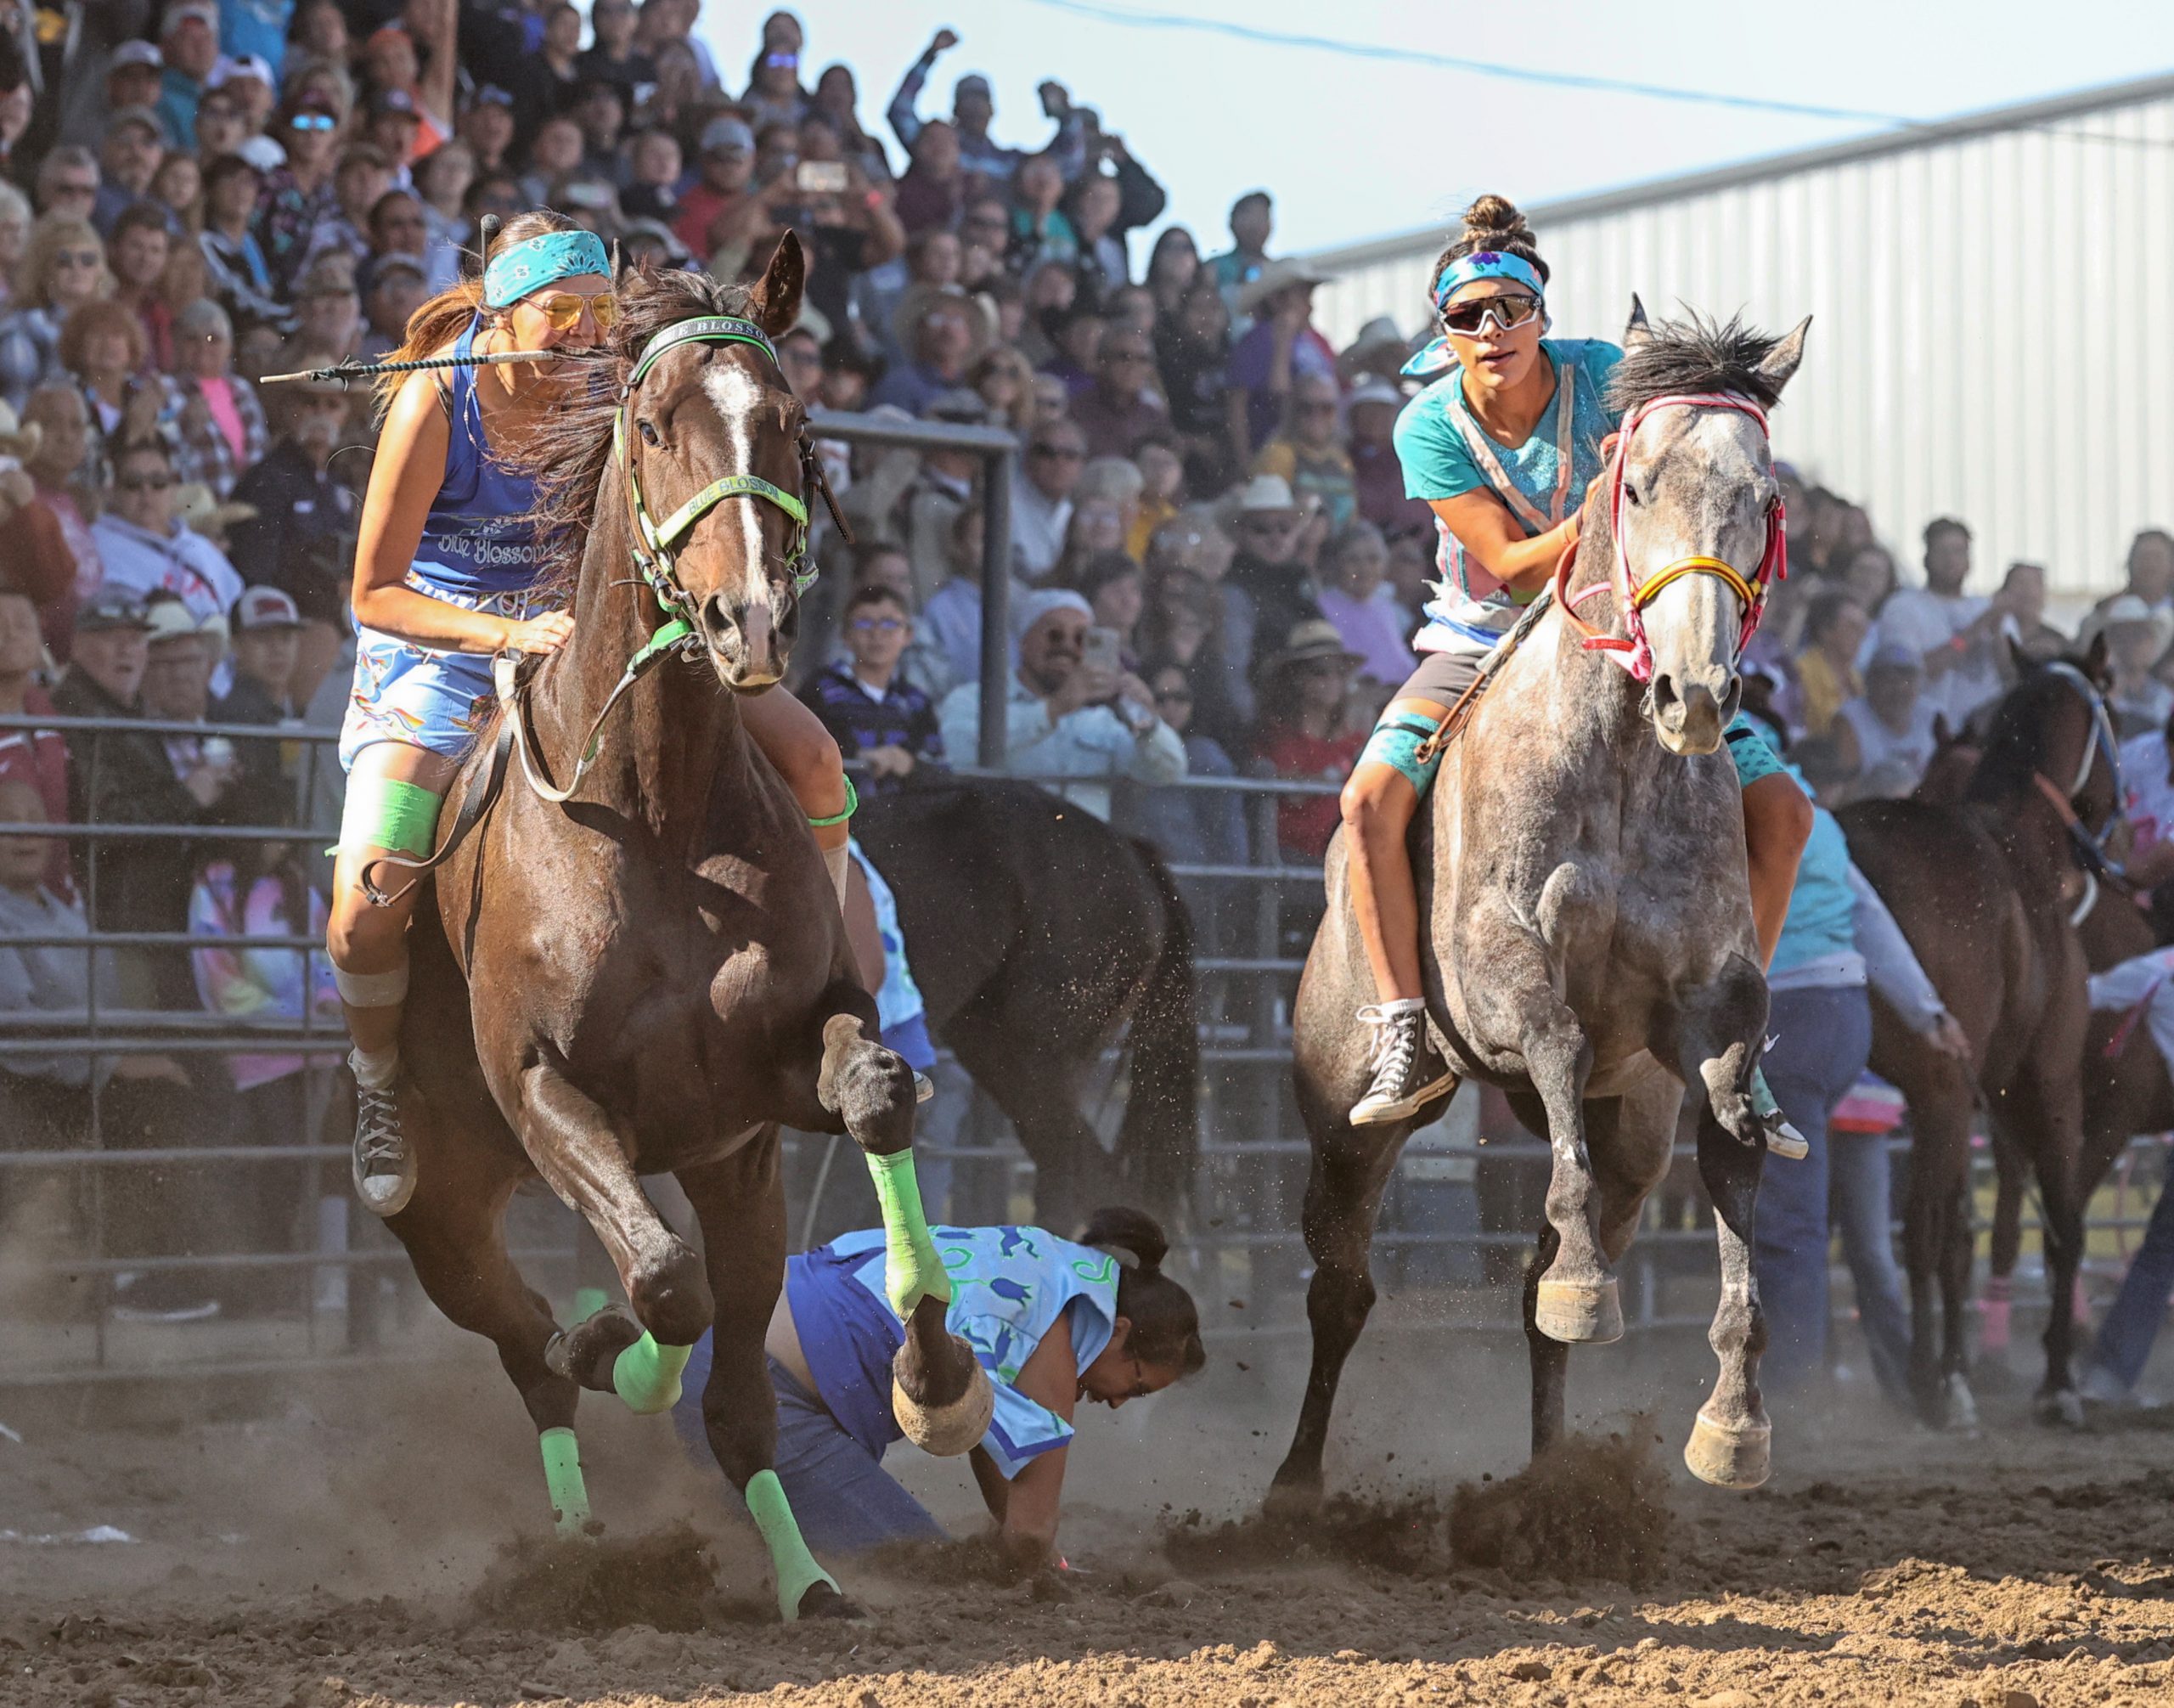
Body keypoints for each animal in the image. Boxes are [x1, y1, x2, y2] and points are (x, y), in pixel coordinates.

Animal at [386, 239, 983, 1608]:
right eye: (655, 426)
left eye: (792, 422)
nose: (746, 619)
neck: (651, 815)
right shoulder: (546, 1091)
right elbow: (663, 1283)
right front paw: (618, 1345)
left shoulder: (765, 1097)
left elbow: (875, 1103)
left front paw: (935, 1380)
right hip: (444, 1202)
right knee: (528, 1344)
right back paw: (576, 1490)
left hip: (723, 1171)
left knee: (713, 1385)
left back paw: (796, 1577)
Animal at [1270, 306, 1808, 1503]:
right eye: (1637, 485)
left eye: (1760, 496)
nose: (1695, 695)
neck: (1616, 767)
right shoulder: (1497, 970)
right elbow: (1558, 1036)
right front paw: (1589, 1292)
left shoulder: (1714, 1002)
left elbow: (1734, 1135)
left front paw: (1735, 1419)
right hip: (1341, 1119)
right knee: (1338, 1288)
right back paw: (1294, 1482)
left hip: (1633, 1133)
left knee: (1533, 1279)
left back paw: (1554, 1466)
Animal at [1834, 647, 2121, 1434]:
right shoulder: (2041, 1085)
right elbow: (2061, 1226)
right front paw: (2057, 1380)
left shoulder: (1971, 1094)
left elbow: (1966, 1236)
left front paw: (1959, 1364)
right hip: (1941, 1093)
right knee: (1921, 1229)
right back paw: (1931, 1386)